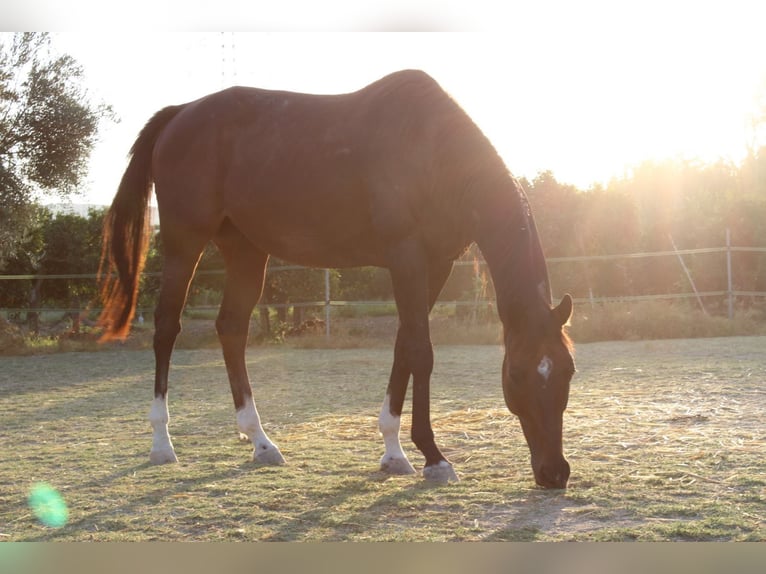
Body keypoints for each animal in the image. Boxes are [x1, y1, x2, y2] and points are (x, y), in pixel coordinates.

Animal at [98, 69, 575, 488]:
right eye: (516, 374)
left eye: (568, 371)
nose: (554, 473)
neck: (433, 152)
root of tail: (179, 114)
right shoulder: (406, 256)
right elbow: (421, 352)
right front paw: (433, 457)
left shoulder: (435, 265)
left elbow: (404, 345)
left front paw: (393, 453)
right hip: (184, 243)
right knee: (166, 327)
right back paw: (162, 443)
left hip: (246, 250)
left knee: (231, 328)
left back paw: (260, 441)